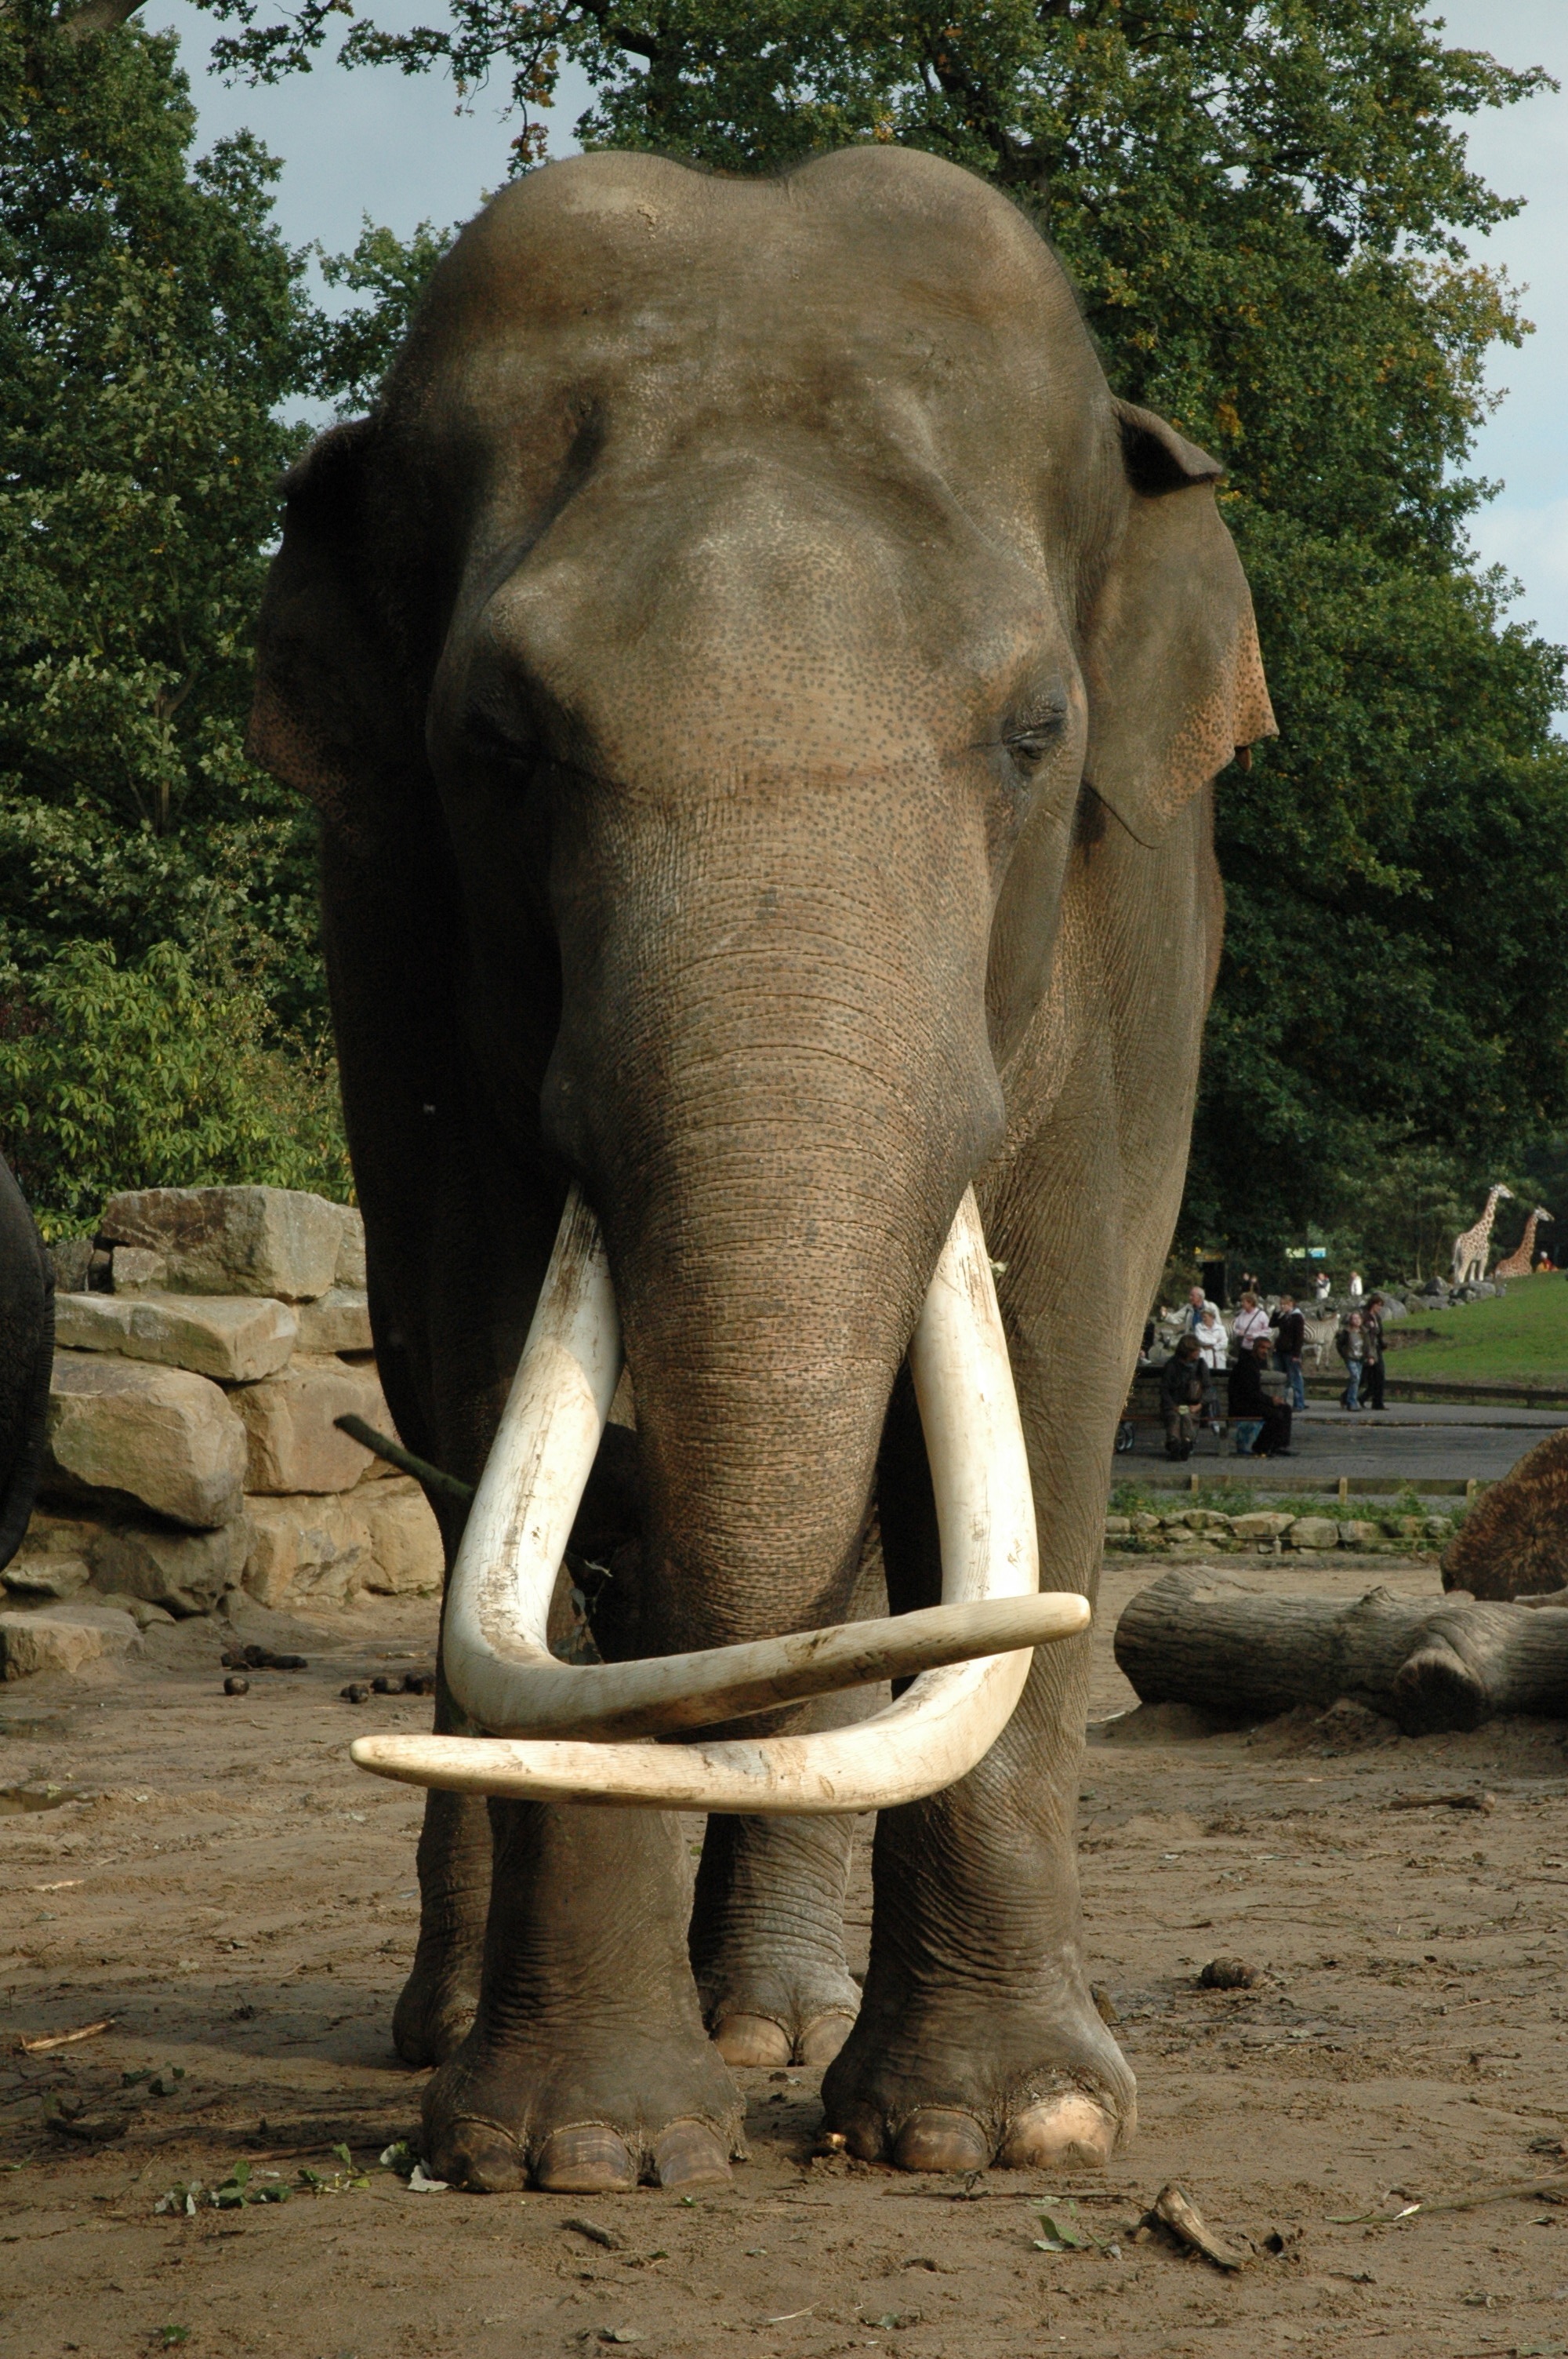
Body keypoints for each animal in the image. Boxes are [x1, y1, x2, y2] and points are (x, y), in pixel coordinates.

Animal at [249, 143, 1274, 2194]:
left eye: (1036, 734)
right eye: (497, 745)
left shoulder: (1138, 923)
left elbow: (1057, 1371)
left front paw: (1002, 2133)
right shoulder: (392, 936)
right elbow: (481, 1352)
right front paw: (572, 2150)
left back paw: (776, 2026)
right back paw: (477, 2029)